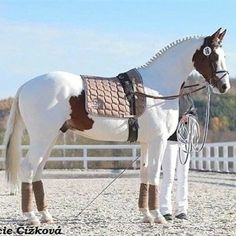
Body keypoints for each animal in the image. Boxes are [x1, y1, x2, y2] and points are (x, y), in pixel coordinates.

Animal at [3, 28, 230, 225]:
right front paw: (158, 216)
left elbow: (145, 173)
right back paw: (31, 217)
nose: (224, 86)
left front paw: (146, 215)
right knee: (28, 168)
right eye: (213, 56)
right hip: (42, 137)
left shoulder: (146, 142)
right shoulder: (159, 140)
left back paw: (45, 215)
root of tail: (25, 86)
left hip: (51, 137)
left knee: (37, 171)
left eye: (223, 54)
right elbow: (155, 174)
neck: (156, 86)